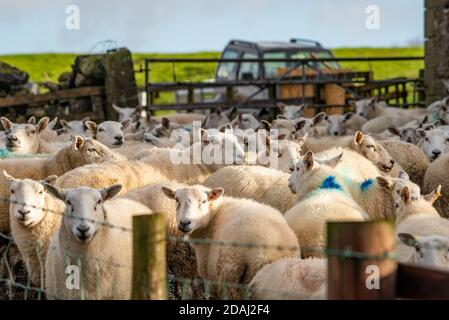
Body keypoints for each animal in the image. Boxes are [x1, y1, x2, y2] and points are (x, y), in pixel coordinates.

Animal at [159, 185, 300, 300]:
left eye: (203, 201)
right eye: (177, 200)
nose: (184, 223)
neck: (212, 217)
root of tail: (266, 252)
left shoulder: (211, 276)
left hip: (230, 275)